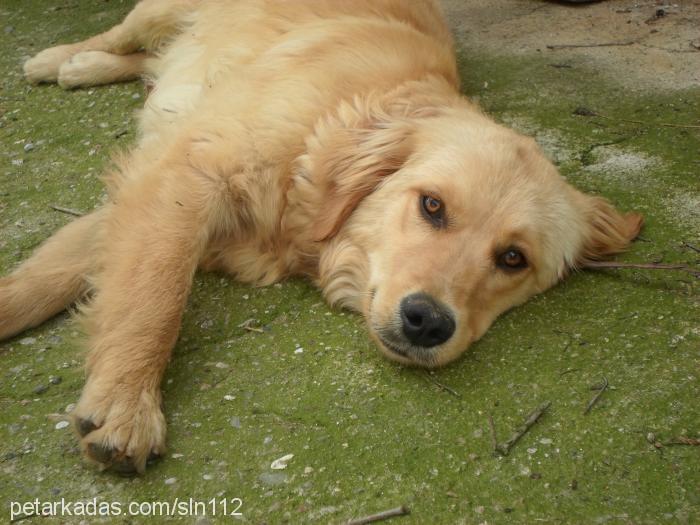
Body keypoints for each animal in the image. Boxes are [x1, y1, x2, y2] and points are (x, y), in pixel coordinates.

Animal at [2, 1, 644, 474]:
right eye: (432, 206)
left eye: (513, 258)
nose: (428, 322)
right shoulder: (186, 180)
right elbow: (152, 296)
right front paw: (126, 404)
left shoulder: (158, 190)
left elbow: (62, 276)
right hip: (159, 11)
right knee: (123, 34)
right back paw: (61, 59)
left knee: (149, 60)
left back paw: (86, 66)